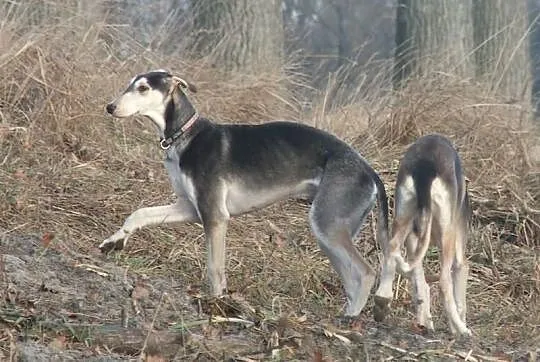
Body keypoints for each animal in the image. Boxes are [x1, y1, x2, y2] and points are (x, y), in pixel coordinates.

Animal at [99, 70, 390, 316]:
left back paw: (350, 320)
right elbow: (139, 214)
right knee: (353, 279)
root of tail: (368, 170)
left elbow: (215, 267)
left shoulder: (215, 216)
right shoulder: (189, 208)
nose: (110, 107)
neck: (185, 135)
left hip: (327, 225)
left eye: (143, 88)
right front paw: (114, 241)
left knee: (365, 273)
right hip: (331, 233)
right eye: (130, 84)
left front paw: (216, 303)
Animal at [372, 134, 472, 336]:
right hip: (447, 234)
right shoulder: (459, 257)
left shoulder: (413, 241)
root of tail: (425, 165)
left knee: (392, 250)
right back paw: (462, 329)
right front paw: (457, 326)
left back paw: (383, 298)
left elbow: (420, 285)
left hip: (403, 217)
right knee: (443, 282)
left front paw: (425, 322)